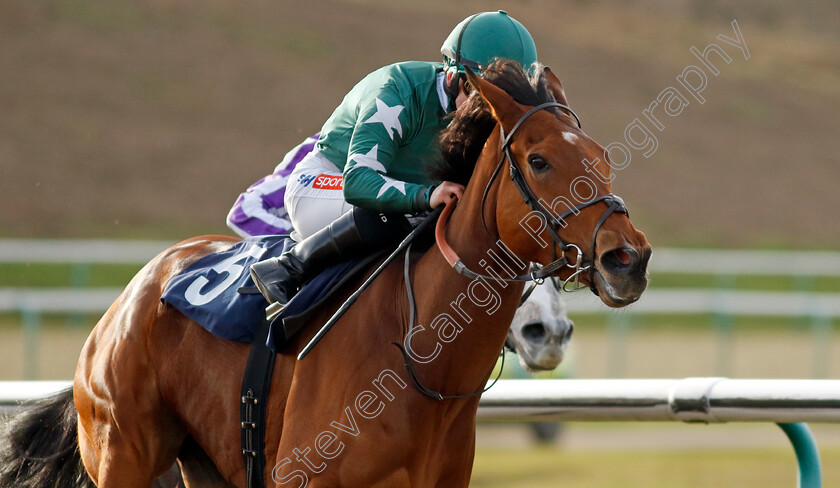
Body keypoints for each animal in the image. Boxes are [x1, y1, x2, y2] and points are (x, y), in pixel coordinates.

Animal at [0, 63, 648, 486]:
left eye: (602, 158)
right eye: (538, 160)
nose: (629, 259)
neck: (418, 358)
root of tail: (128, 297)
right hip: (124, 454)